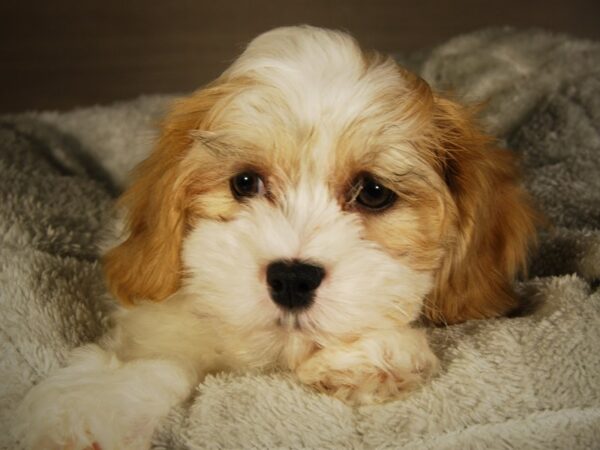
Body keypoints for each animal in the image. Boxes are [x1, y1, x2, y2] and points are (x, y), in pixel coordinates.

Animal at [15, 25, 540, 450]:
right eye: (245, 183)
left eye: (373, 192)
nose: (291, 278)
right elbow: (163, 361)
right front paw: (92, 408)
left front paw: (371, 358)